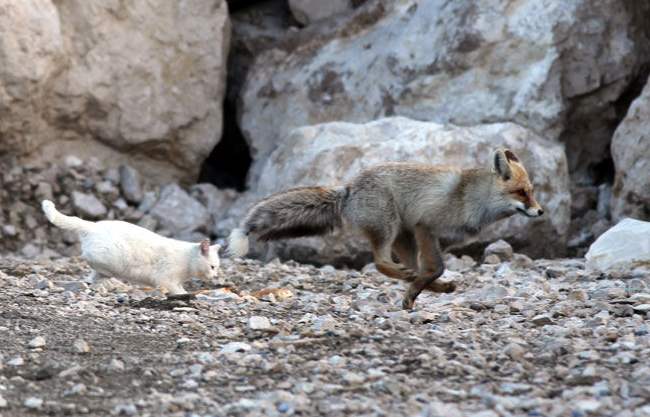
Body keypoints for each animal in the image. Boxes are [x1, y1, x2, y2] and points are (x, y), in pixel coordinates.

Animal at [42, 199, 220, 292]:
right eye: (212, 267)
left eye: (217, 267)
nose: (215, 276)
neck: (188, 261)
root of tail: (92, 225)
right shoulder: (166, 280)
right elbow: (178, 291)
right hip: (109, 258)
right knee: (93, 265)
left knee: (91, 277)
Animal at [228, 150, 540, 308]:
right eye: (521, 192)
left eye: (532, 192)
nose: (540, 211)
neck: (471, 198)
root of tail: (349, 188)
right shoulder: (425, 225)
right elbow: (435, 267)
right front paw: (415, 290)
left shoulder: (436, 238)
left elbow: (431, 271)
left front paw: (418, 290)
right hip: (389, 228)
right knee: (380, 262)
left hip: (402, 236)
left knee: (408, 268)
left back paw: (424, 286)